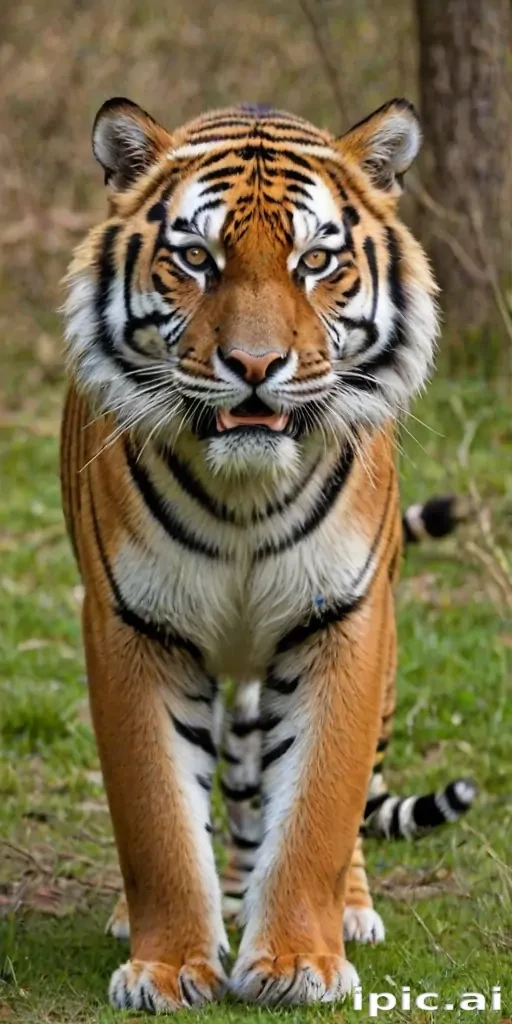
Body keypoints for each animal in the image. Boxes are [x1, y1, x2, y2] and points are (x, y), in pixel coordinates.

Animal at [61, 96, 475, 1012]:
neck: (244, 495)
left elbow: (320, 806)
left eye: (316, 261)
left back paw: (344, 909)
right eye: (196, 258)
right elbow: (155, 813)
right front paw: (170, 965)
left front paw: (295, 961)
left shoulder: (344, 623)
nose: (254, 365)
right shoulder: (132, 628)